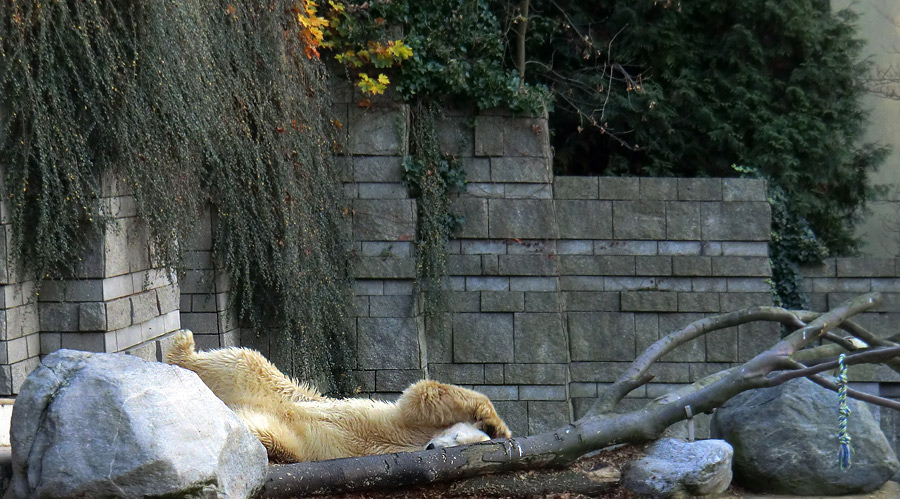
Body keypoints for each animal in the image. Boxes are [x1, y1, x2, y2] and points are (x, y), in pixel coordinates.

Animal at [165, 330, 510, 462]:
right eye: (455, 438)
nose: (433, 448)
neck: (415, 443)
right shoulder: (409, 423)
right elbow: (423, 394)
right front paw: (493, 424)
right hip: (261, 381)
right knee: (238, 359)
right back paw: (182, 343)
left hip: (272, 422)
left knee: (262, 432)